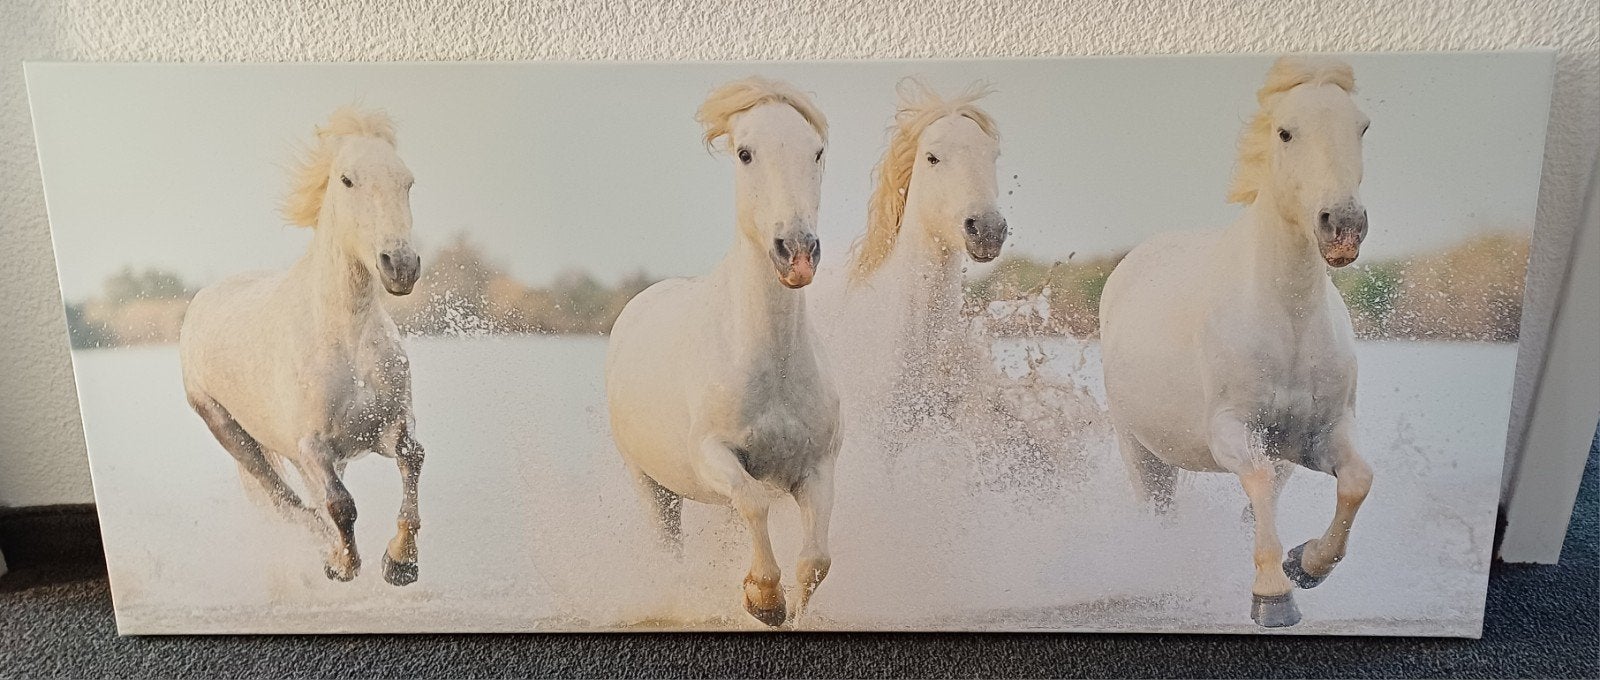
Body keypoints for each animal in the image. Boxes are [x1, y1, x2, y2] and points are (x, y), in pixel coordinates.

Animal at [178, 107, 426, 587]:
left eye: (407, 181)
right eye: (347, 180)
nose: (400, 266)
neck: (346, 336)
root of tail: (200, 302)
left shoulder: (386, 427)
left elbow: (413, 459)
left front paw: (401, 563)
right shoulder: (313, 445)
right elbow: (340, 505)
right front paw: (342, 565)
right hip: (231, 432)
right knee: (286, 501)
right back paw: (325, 549)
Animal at [604, 77, 841, 628]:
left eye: (816, 151)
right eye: (745, 153)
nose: (797, 253)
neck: (772, 365)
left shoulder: (818, 466)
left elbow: (816, 560)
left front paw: (784, 609)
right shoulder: (713, 453)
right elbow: (755, 503)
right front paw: (764, 599)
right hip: (651, 484)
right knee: (669, 546)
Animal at [1099, 56, 1375, 628]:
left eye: (1361, 126)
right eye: (1286, 132)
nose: (1342, 226)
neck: (1287, 321)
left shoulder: (1319, 436)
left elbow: (1356, 481)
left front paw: (1305, 565)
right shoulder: (1230, 431)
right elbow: (1260, 480)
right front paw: (1272, 596)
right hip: (1139, 449)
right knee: (1159, 513)